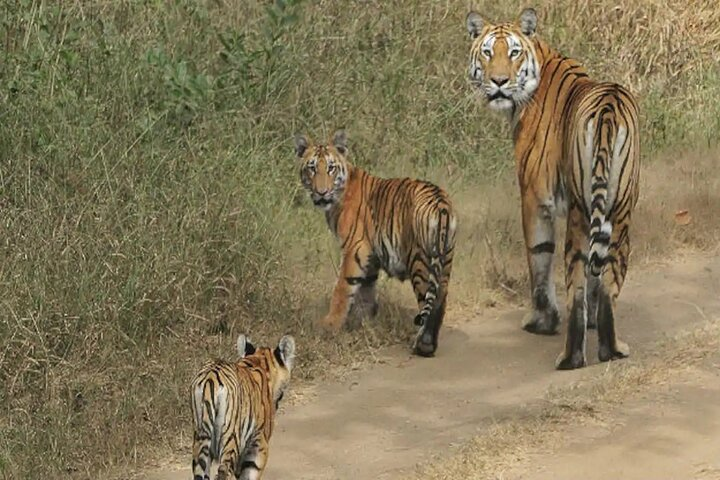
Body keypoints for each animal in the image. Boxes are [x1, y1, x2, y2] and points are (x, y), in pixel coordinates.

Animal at [191, 334, 296, 480]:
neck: (259, 361)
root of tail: (210, 377)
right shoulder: (258, 445)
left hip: (200, 441)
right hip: (231, 437)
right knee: (224, 471)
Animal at [296, 131, 456, 356]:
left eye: (330, 168)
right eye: (312, 168)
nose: (321, 192)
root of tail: (441, 203)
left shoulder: (354, 248)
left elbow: (342, 289)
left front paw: (329, 325)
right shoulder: (370, 255)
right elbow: (366, 292)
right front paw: (363, 325)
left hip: (420, 261)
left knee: (428, 301)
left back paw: (422, 345)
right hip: (446, 259)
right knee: (441, 298)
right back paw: (429, 344)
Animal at [466, 7, 640, 370]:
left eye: (513, 53)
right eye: (487, 52)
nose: (499, 82)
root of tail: (609, 106)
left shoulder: (534, 197)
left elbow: (538, 258)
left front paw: (542, 321)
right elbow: (596, 275)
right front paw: (590, 321)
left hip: (579, 211)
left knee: (575, 284)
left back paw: (571, 357)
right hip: (620, 211)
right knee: (609, 280)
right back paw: (612, 349)